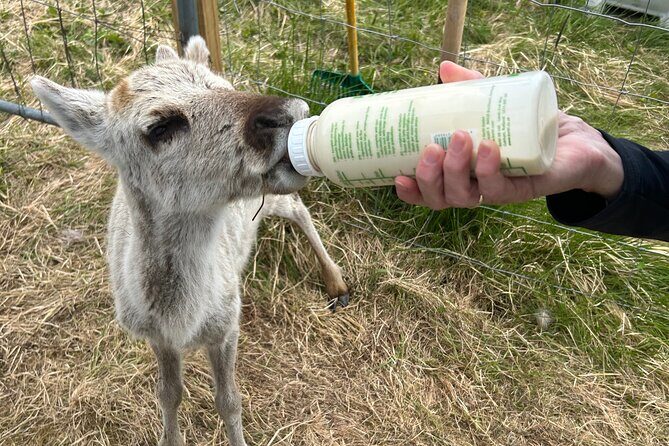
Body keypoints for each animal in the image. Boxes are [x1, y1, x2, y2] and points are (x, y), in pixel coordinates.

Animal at [30, 36, 350, 446]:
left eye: (227, 88)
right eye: (160, 126)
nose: (292, 111)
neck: (182, 318)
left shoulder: (227, 322)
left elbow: (229, 400)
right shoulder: (156, 335)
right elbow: (169, 394)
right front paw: (171, 437)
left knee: (298, 208)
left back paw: (336, 283)